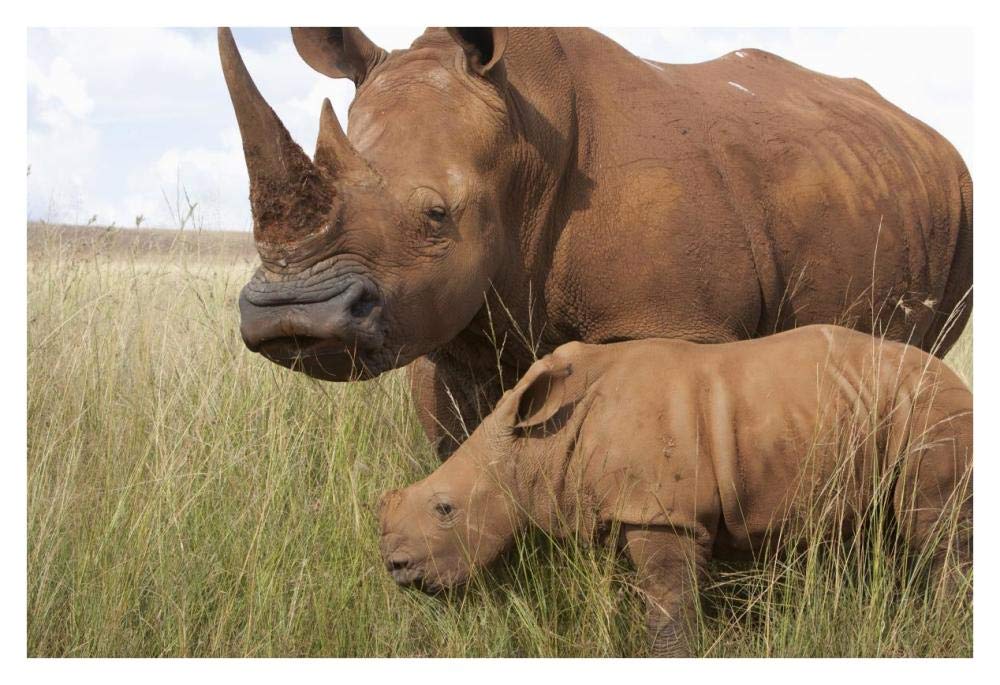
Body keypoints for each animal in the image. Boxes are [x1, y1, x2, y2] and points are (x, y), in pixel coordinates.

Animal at [220, 27, 972, 457]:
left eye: (437, 215)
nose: (292, 315)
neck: (523, 138)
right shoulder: (445, 326)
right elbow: (458, 449)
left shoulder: (674, 321)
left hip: (962, 198)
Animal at [378, 325, 973, 656]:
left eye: (445, 508)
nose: (396, 568)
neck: (536, 444)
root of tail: (958, 380)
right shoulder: (625, 505)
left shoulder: (664, 513)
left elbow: (668, 604)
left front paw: (673, 657)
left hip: (933, 412)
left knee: (932, 529)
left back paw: (944, 625)